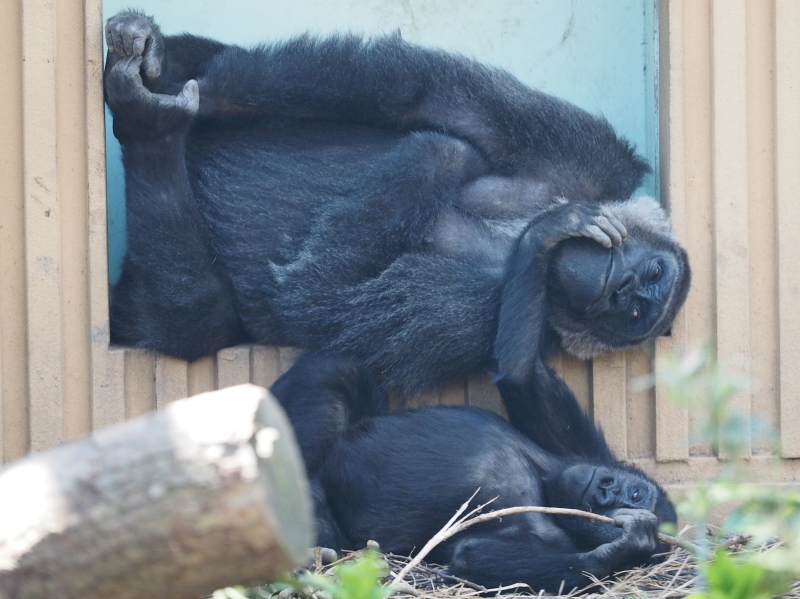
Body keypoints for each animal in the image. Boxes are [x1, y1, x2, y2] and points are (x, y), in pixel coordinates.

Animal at [103, 11, 692, 398]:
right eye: (652, 274)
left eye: (634, 313)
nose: (624, 288)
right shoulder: (587, 156)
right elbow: (412, 92)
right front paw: (171, 66)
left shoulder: (465, 321)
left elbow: (317, 294)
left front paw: (541, 236)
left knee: (195, 320)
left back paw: (148, 132)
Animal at [270, 354, 676, 592]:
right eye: (635, 493)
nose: (607, 489)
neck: (545, 483)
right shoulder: (583, 448)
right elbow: (524, 378)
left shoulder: (541, 532)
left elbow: (473, 555)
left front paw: (626, 549)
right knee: (336, 371)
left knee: (323, 529)